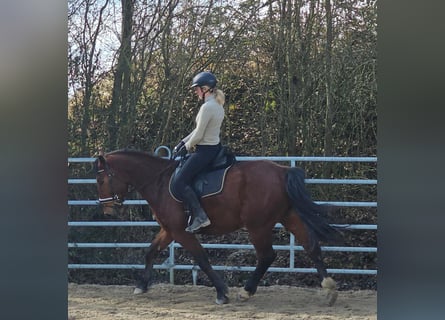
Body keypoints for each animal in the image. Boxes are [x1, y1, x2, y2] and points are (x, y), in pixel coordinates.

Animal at [94, 149, 344, 304]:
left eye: (100, 180)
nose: (108, 211)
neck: (159, 182)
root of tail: (282, 170)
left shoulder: (181, 232)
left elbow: (202, 259)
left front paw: (222, 293)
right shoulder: (169, 230)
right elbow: (150, 251)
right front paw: (141, 285)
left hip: (258, 225)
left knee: (267, 255)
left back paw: (246, 291)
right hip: (287, 216)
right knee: (311, 245)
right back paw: (329, 289)